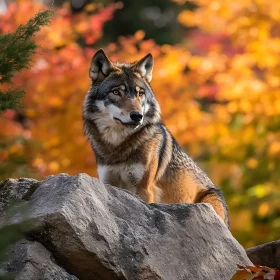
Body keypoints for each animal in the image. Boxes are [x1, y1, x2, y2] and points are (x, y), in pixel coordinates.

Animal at [83, 49, 230, 226]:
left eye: (140, 94)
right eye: (116, 92)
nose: (137, 116)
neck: (117, 145)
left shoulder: (145, 188)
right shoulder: (108, 183)